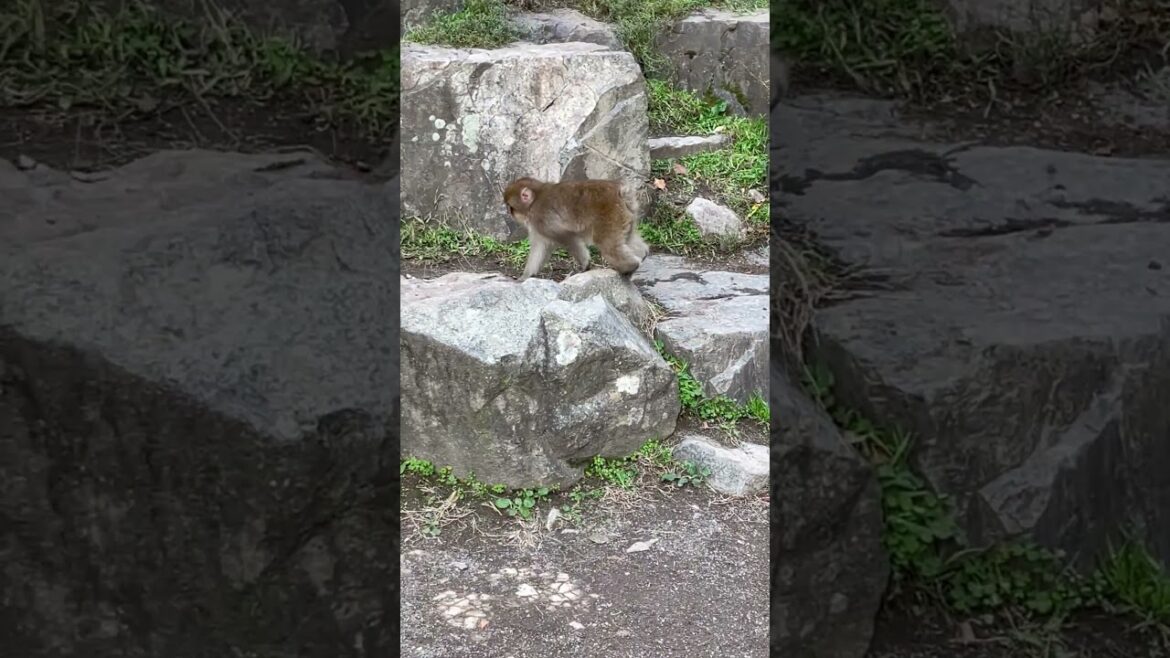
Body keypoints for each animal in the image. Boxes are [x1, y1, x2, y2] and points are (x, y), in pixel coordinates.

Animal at [502, 176, 651, 282]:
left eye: (511, 206)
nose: (509, 212)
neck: (535, 200)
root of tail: (620, 192)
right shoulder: (538, 225)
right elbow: (539, 248)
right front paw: (525, 277)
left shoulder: (543, 219)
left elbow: (568, 237)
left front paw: (585, 265)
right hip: (627, 215)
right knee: (628, 239)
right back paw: (643, 254)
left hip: (611, 215)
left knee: (608, 245)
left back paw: (630, 267)